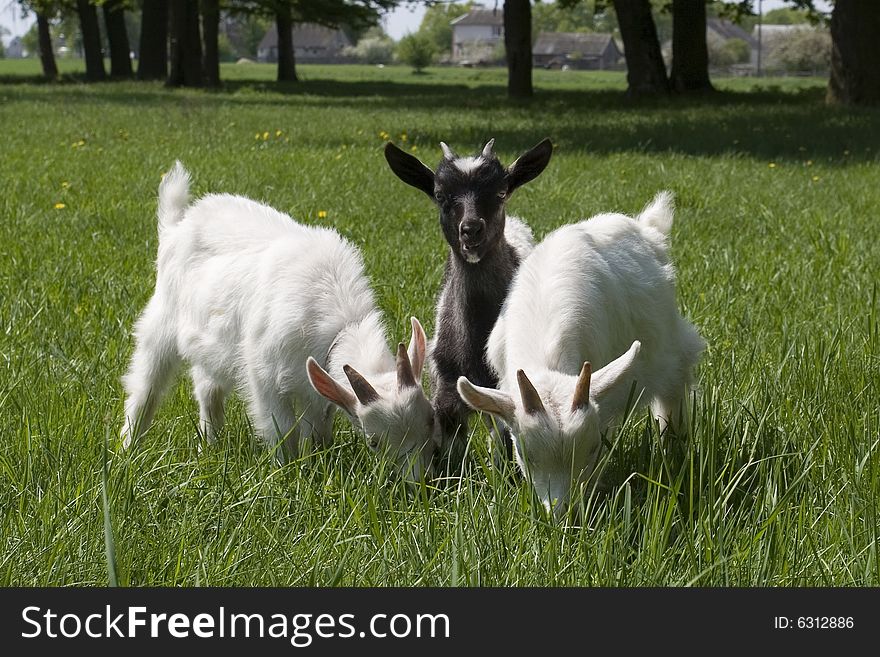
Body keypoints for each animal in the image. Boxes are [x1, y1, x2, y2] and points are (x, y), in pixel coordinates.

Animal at [120, 161, 436, 480]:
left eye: (431, 420)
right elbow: (283, 430)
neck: (341, 322)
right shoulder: (265, 376)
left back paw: (208, 445)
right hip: (161, 321)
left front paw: (315, 463)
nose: (418, 483)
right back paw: (128, 448)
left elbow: (316, 429)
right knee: (146, 387)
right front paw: (287, 471)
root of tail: (176, 225)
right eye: (373, 441)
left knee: (208, 389)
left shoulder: (314, 384)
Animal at [458, 192, 704, 516]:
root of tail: (646, 226)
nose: (561, 512)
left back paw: (673, 445)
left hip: (670, 343)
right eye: (525, 455)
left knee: (674, 384)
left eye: (592, 449)